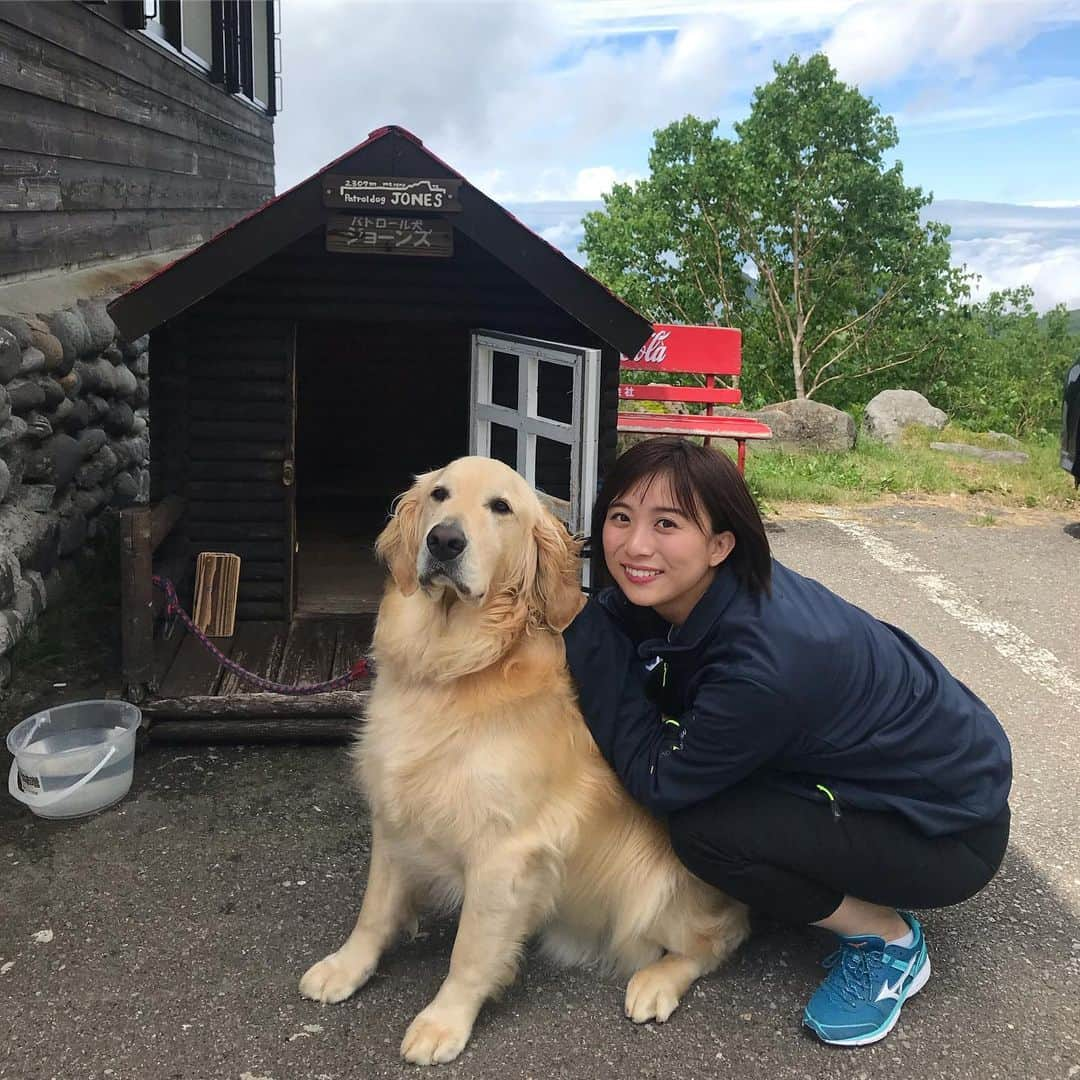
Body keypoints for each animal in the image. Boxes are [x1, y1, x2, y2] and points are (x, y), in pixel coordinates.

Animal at [300, 455, 747, 1062]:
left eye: (501, 507)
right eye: (440, 495)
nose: (444, 541)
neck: (455, 665)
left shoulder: (505, 849)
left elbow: (469, 950)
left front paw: (444, 1021)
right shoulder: (395, 812)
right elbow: (374, 909)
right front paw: (346, 967)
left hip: (654, 891)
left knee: (720, 937)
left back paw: (655, 983)